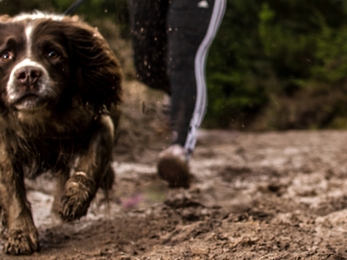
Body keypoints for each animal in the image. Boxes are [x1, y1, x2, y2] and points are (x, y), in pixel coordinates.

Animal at [0, 12, 123, 254]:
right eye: (5, 55)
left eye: (52, 53)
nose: (28, 74)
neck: (38, 117)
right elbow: (11, 191)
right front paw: (20, 235)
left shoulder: (96, 120)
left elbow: (93, 159)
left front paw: (75, 199)